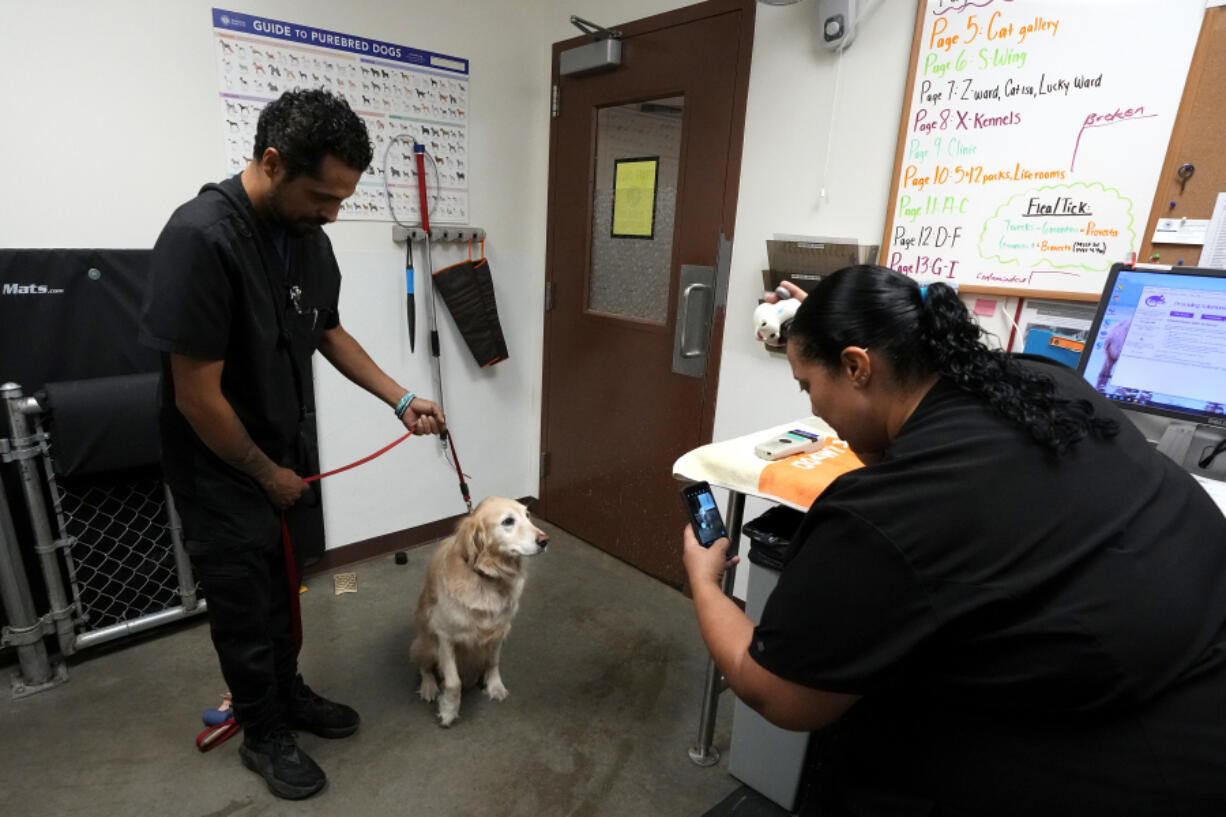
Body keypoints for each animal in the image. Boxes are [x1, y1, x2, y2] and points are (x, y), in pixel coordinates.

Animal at [409, 493, 549, 721]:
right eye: (508, 521)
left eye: (527, 515)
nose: (545, 540)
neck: (488, 578)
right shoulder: (445, 636)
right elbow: (453, 682)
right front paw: (448, 711)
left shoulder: (499, 631)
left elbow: (493, 662)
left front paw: (495, 687)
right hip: (426, 641)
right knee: (424, 666)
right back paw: (429, 687)